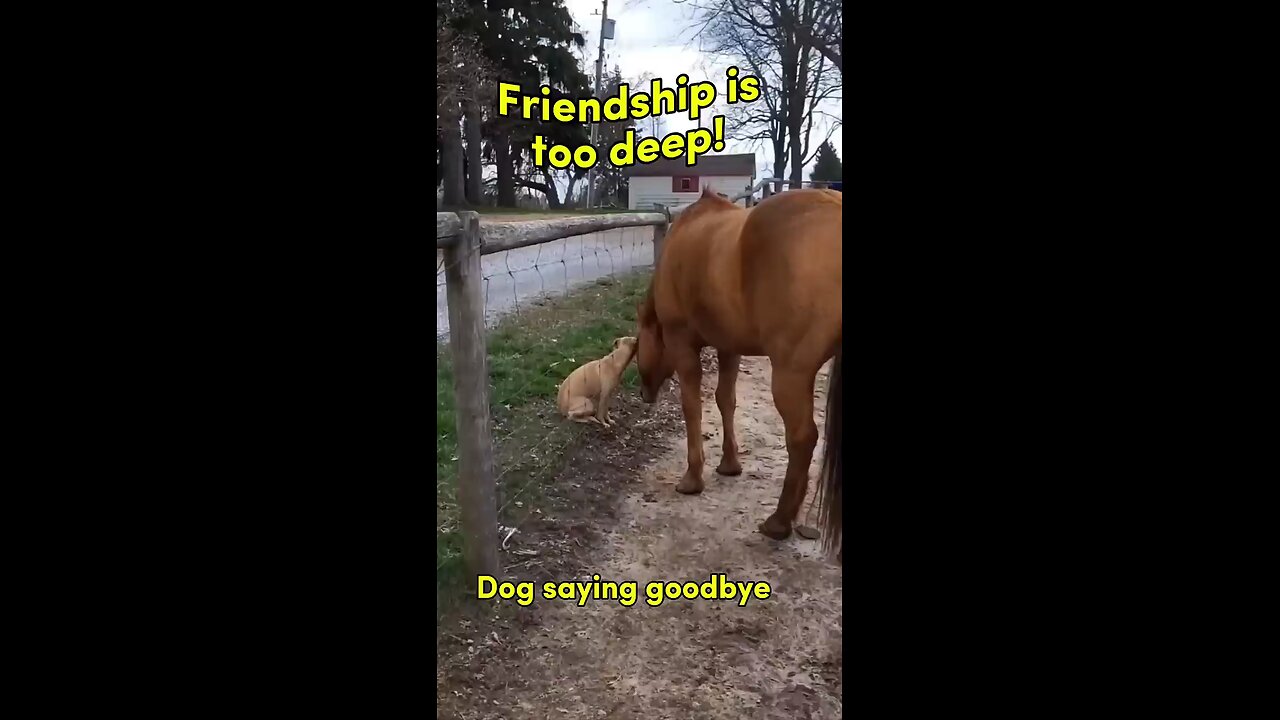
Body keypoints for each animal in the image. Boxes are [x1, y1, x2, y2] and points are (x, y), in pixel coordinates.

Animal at [637, 185, 839, 556]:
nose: (645, 393)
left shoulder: (682, 344)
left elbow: (693, 407)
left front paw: (693, 478)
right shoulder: (729, 346)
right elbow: (725, 401)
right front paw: (729, 464)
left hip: (790, 373)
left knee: (802, 438)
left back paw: (779, 522)